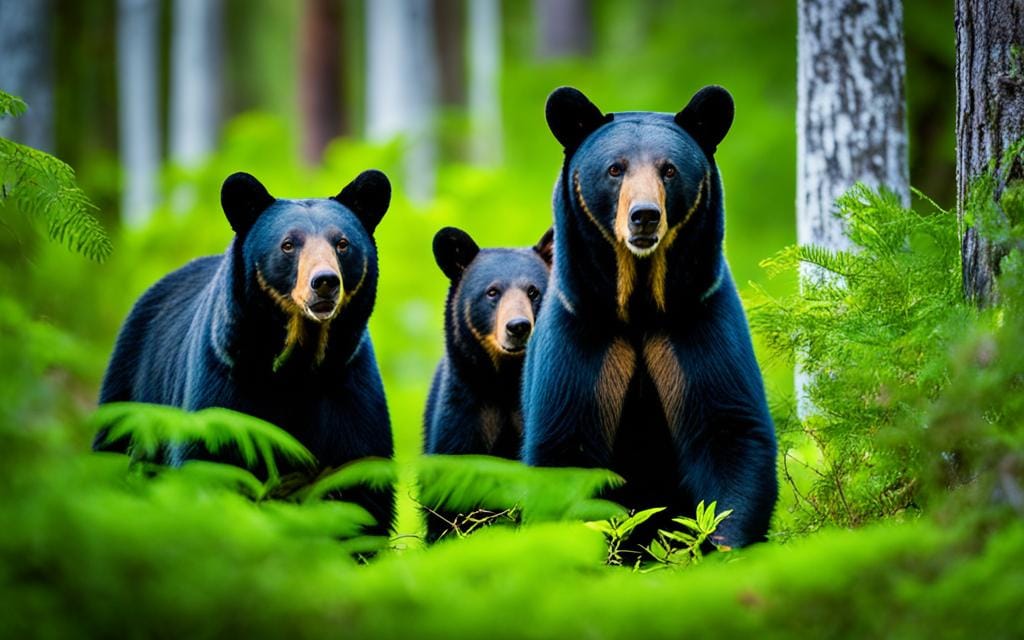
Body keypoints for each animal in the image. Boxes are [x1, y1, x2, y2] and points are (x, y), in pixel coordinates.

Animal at [94, 170, 396, 537]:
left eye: (342, 243)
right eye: (288, 244)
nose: (324, 282)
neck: (299, 365)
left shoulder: (348, 387)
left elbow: (361, 492)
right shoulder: (225, 381)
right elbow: (211, 463)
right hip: (132, 396)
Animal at [521, 86, 777, 550]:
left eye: (669, 169)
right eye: (615, 169)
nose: (644, 215)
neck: (639, 306)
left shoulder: (697, 322)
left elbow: (730, 432)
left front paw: (719, 544)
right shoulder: (583, 335)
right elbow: (565, 450)